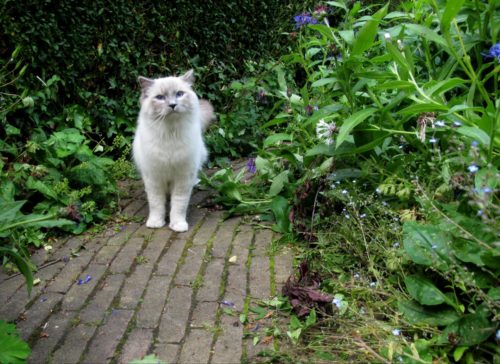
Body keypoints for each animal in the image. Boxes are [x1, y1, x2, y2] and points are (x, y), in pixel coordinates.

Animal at [132, 69, 214, 232]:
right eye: (160, 97)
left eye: (179, 94)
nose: (172, 105)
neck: (170, 134)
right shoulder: (154, 178)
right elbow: (156, 204)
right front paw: (156, 223)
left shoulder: (183, 178)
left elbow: (178, 205)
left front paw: (178, 225)